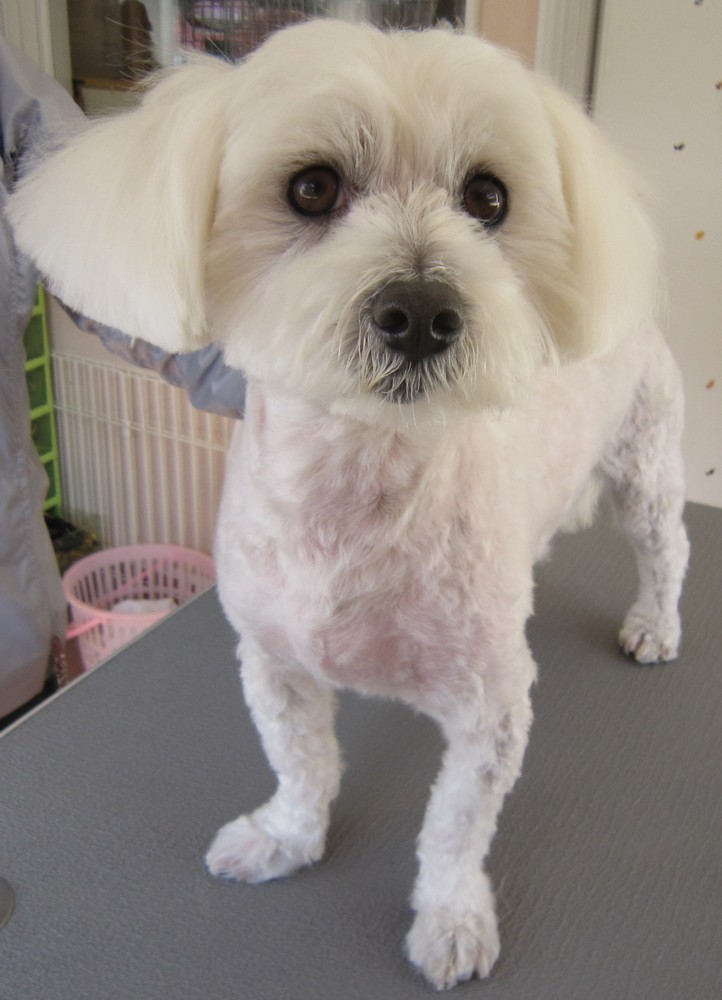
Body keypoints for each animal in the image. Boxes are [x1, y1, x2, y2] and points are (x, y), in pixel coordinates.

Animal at [9, 21, 689, 989]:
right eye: (312, 187)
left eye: (488, 198)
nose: (423, 309)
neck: (355, 491)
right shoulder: (272, 662)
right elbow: (303, 768)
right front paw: (285, 841)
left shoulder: (492, 708)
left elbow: (454, 831)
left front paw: (450, 920)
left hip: (645, 460)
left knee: (666, 548)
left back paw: (656, 624)